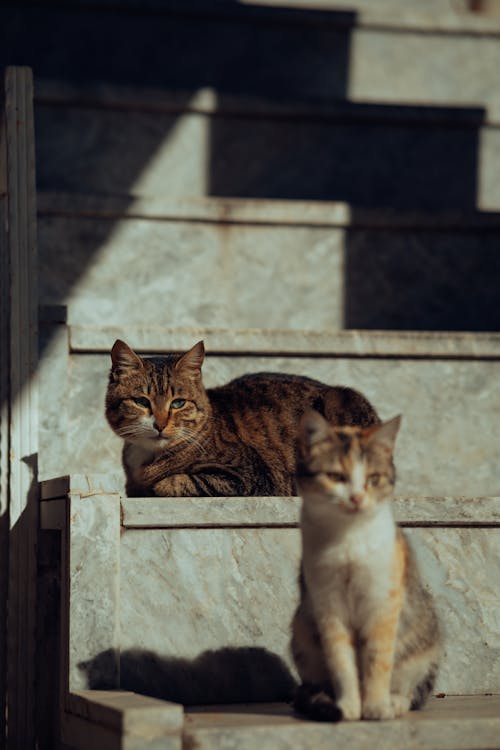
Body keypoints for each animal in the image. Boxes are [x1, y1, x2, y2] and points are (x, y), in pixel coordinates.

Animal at [106, 342, 378, 500]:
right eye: (142, 401)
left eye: (178, 403)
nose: (160, 425)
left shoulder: (249, 476)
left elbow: (175, 483)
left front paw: (158, 484)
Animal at [292, 412, 440, 724]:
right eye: (336, 477)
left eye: (374, 478)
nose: (357, 498)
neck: (350, 539)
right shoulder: (328, 606)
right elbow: (341, 662)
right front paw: (348, 707)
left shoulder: (382, 602)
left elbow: (377, 659)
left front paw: (375, 708)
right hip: (302, 632)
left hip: (422, 646)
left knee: (410, 689)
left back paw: (394, 702)